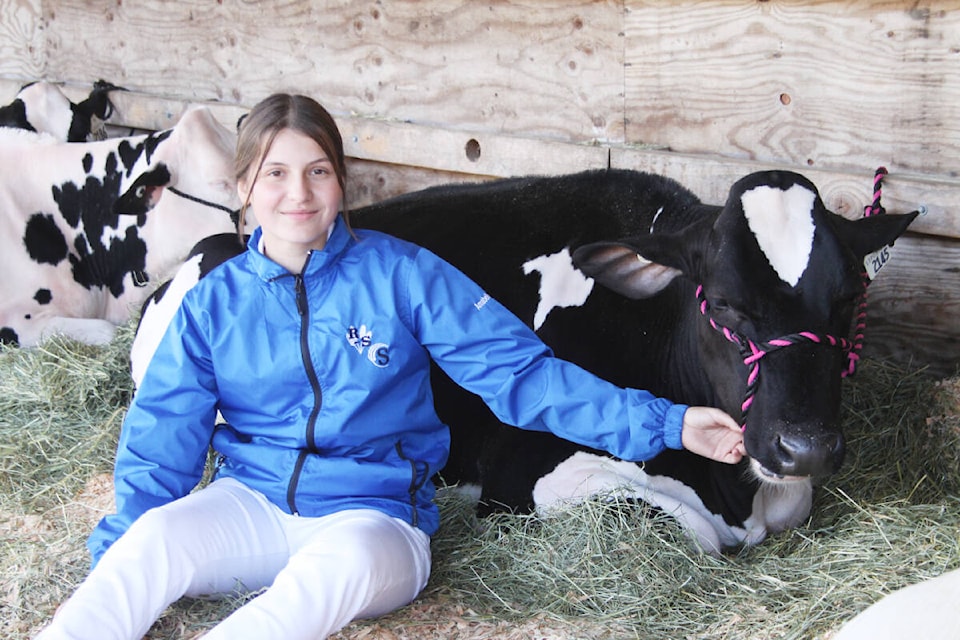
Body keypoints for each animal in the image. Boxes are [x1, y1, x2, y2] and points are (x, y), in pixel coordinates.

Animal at [129, 169, 916, 552]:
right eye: (722, 304)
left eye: (849, 298)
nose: (804, 447)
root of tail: (223, 239)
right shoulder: (527, 473)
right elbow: (690, 532)